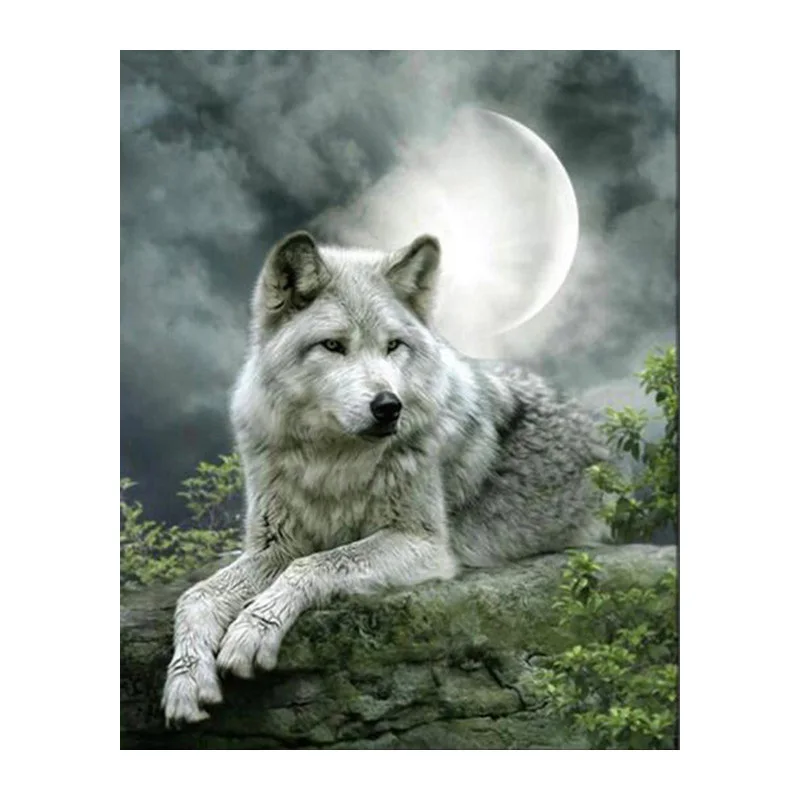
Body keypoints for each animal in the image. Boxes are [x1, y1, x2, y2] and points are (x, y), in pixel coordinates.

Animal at [162, 230, 609, 726]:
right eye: (333, 346)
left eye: (393, 346)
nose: (389, 406)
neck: (332, 461)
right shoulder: (275, 545)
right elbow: (196, 595)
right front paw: (185, 680)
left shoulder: (422, 544)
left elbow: (316, 564)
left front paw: (251, 630)